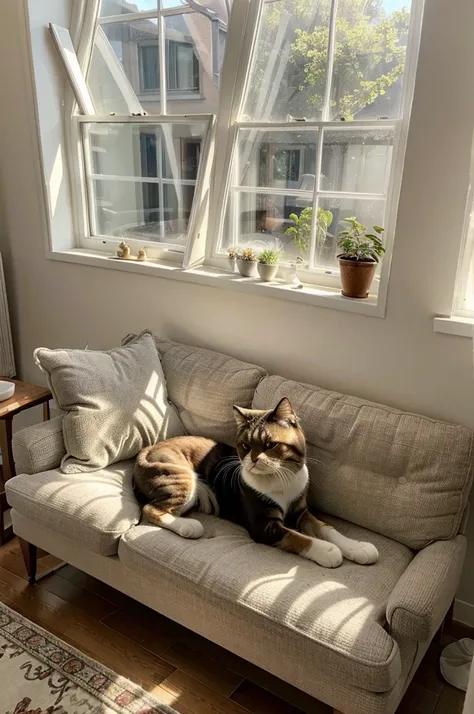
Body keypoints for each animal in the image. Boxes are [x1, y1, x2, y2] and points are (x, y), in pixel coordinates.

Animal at [133, 398, 378, 564]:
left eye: (270, 445)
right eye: (245, 445)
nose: (253, 460)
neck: (281, 477)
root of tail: (147, 450)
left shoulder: (301, 511)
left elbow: (327, 528)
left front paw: (359, 548)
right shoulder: (264, 525)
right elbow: (298, 537)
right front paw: (329, 552)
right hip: (182, 478)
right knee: (151, 509)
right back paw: (189, 526)